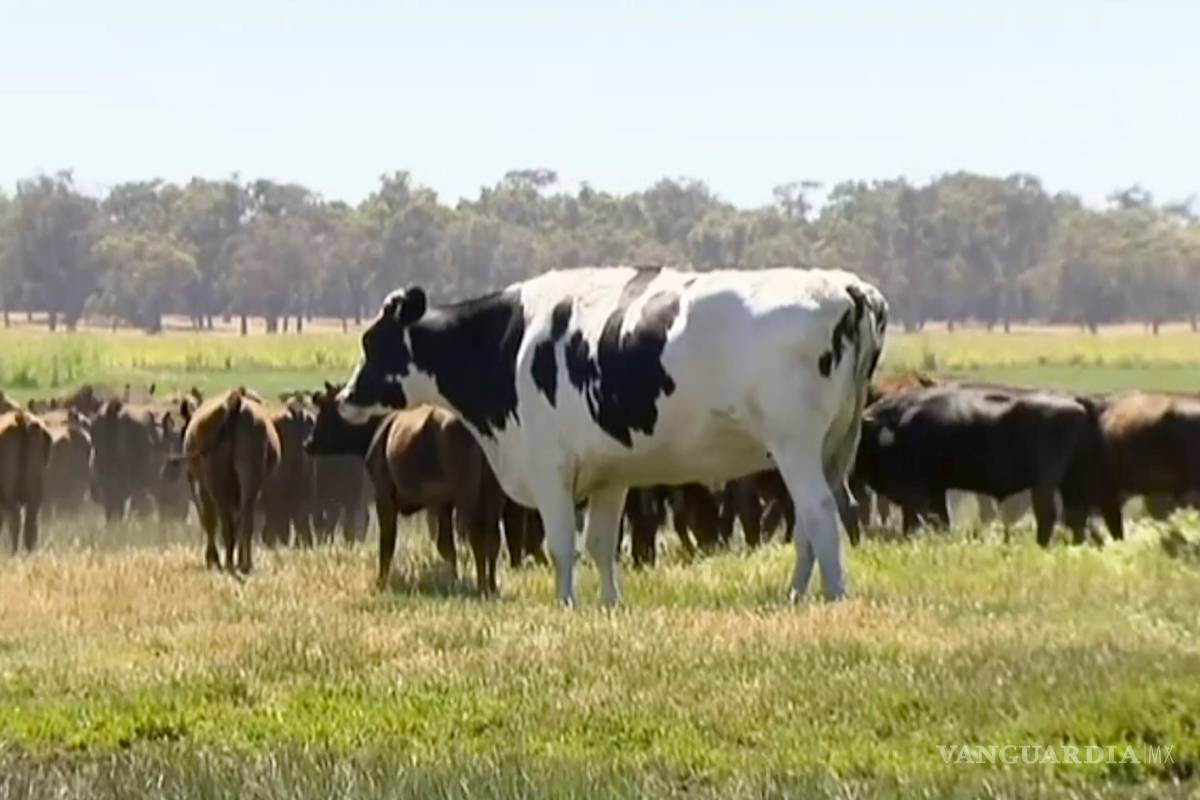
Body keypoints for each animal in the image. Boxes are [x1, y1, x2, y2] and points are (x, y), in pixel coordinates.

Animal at [303, 385, 505, 595]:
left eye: (325, 410)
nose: (307, 443)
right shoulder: (442, 502)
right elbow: (446, 545)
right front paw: (454, 581)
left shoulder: (384, 495)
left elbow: (387, 542)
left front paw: (381, 583)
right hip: (494, 494)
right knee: (493, 538)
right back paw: (492, 586)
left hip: (469, 493)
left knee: (477, 535)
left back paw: (482, 588)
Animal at [335, 265, 888, 605]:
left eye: (372, 341)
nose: (344, 396)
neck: (510, 344)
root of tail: (846, 287)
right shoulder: (610, 475)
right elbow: (602, 543)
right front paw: (608, 604)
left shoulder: (549, 468)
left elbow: (563, 544)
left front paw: (566, 605)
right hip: (825, 450)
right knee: (812, 521)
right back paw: (796, 594)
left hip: (795, 446)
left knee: (820, 514)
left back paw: (833, 597)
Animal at [855, 382, 1098, 546]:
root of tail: (1076, 402)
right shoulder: (932, 491)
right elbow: (929, 521)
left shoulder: (919, 493)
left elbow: (928, 521)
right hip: (1071, 482)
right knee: (1076, 516)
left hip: (1045, 485)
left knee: (1048, 515)